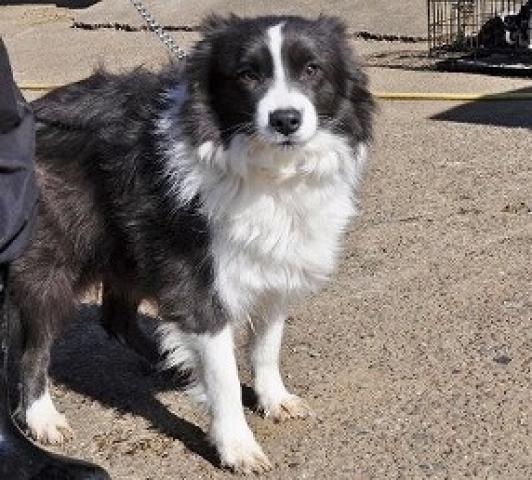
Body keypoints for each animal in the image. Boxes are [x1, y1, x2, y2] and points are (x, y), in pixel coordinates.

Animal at [9, 14, 374, 473]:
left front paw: (272, 398)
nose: (285, 119)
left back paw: (171, 364)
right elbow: (222, 376)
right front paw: (236, 445)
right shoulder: (199, 282)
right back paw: (41, 416)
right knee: (32, 346)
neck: (271, 170)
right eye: (248, 75)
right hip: (52, 259)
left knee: (116, 319)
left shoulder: (276, 270)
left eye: (312, 69)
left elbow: (266, 345)